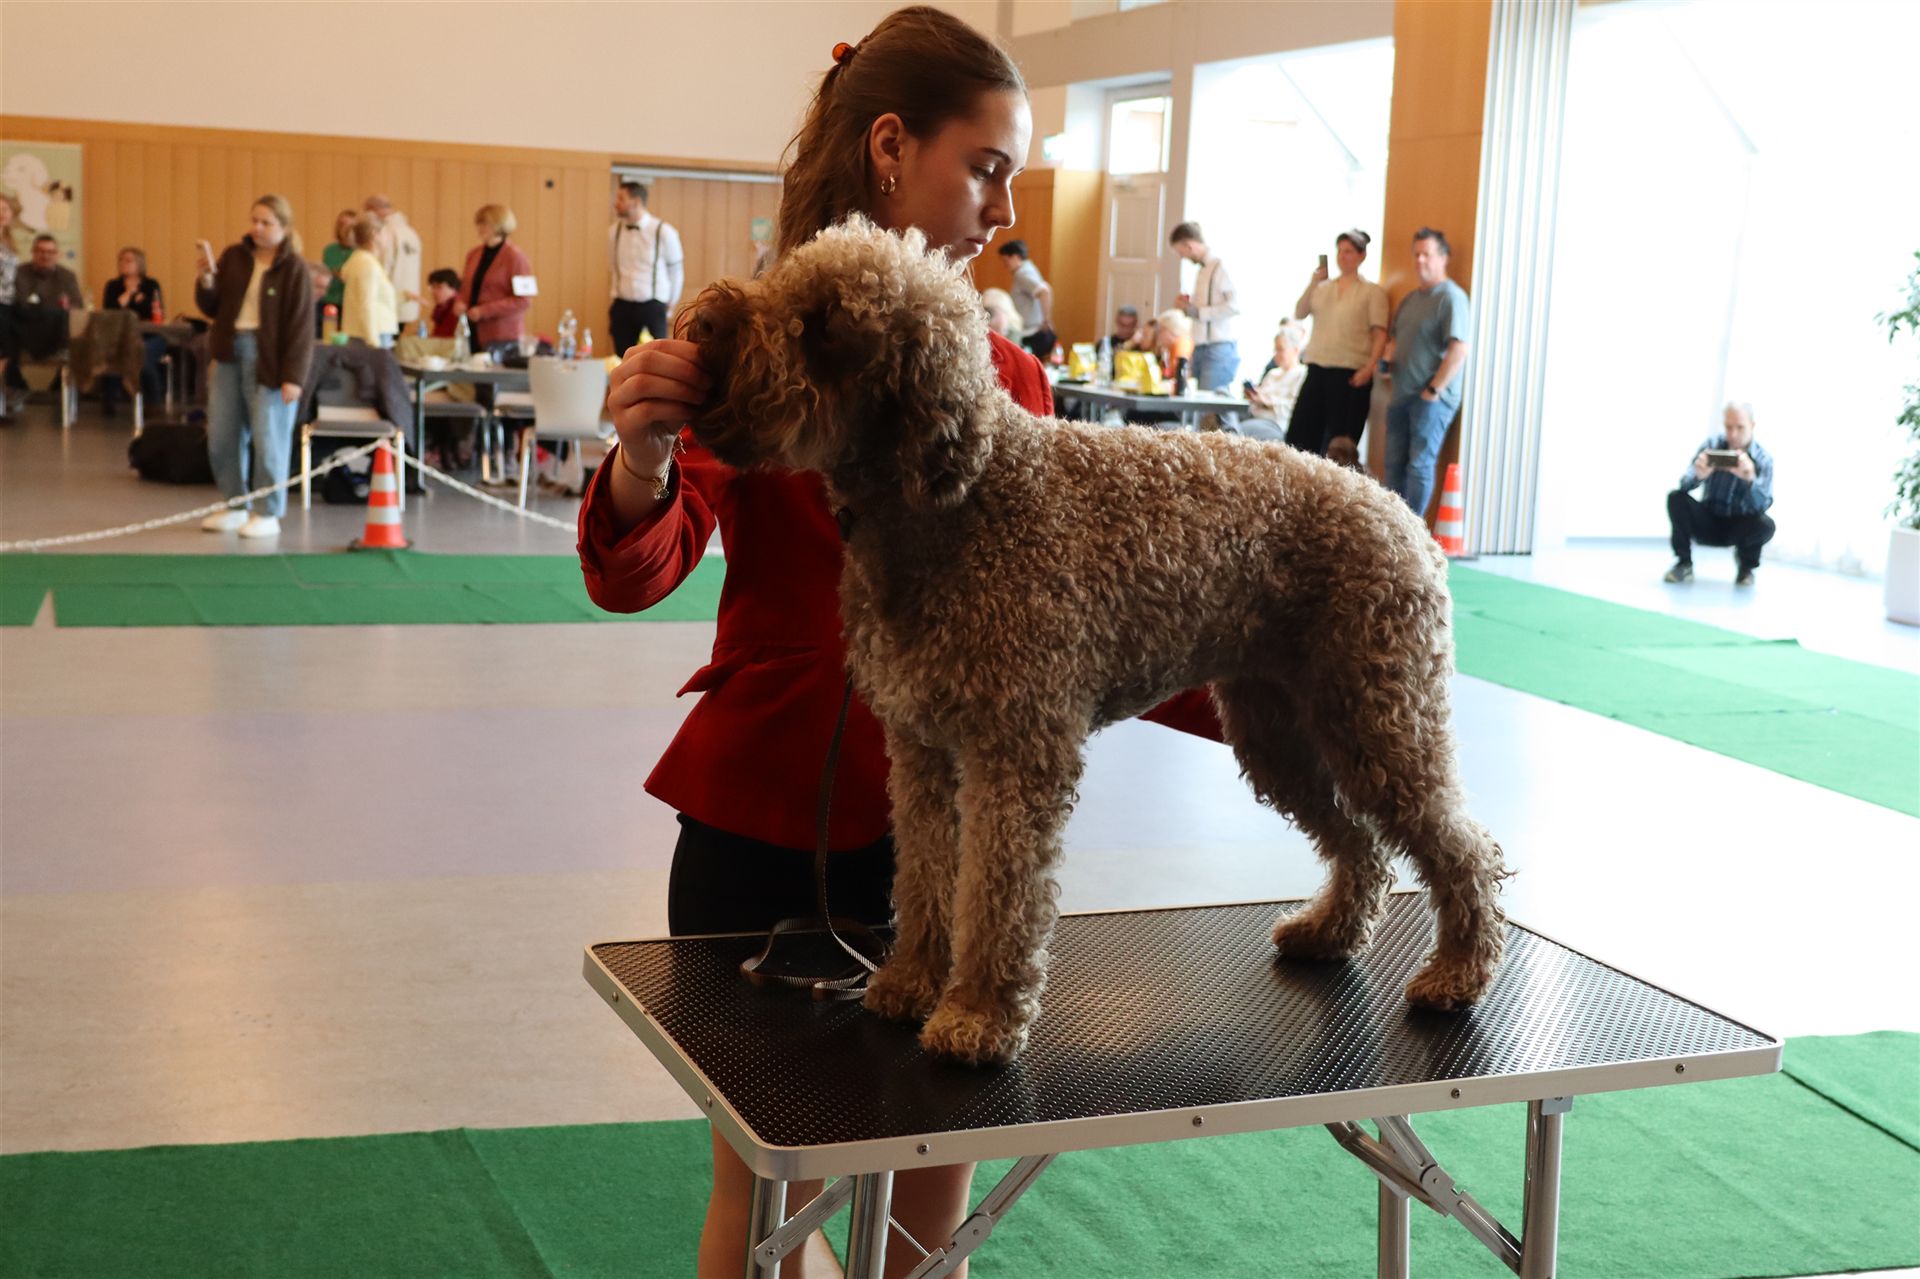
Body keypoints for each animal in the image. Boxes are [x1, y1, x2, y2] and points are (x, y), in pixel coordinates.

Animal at [683, 218, 1509, 1066]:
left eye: (826, 323)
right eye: (784, 279)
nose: (706, 322)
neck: (959, 502)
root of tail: (1398, 511)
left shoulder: (1016, 752)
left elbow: (998, 892)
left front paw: (978, 1014)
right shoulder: (920, 749)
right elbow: (925, 875)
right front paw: (911, 980)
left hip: (1380, 718)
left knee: (1463, 846)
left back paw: (1457, 973)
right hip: (1280, 730)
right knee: (1361, 843)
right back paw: (1328, 932)